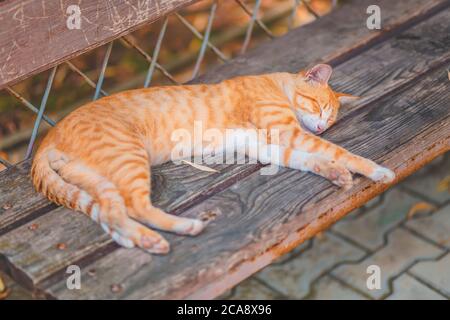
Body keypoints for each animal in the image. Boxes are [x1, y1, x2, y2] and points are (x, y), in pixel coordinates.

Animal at [31, 63, 394, 254]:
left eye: (330, 119)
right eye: (319, 107)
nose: (320, 127)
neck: (276, 85)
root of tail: (47, 138)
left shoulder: (265, 145)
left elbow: (310, 159)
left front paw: (336, 173)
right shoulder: (286, 132)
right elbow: (340, 153)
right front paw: (375, 170)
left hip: (100, 180)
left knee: (110, 213)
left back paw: (139, 239)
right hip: (127, 157)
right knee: (135, 206)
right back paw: (180, 229)